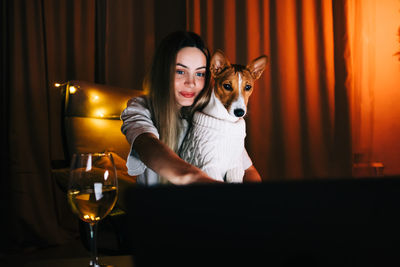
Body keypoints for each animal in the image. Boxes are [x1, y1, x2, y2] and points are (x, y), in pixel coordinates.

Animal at [180, 49, 268, 184]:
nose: (239, 112)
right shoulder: (209, 166)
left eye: (248, 87)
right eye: (227, 86)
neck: (226, 121)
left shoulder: (235, 166)